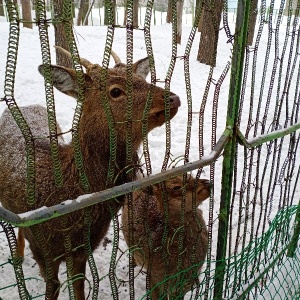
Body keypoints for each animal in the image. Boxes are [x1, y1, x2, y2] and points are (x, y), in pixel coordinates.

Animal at [0, 48, 180, 298]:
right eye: (115, 91)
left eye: (142, 79)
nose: (173, 98)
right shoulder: (43, 249)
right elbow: (52, 287)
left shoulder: (83, 249)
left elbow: (79, 288)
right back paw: (17, 255)